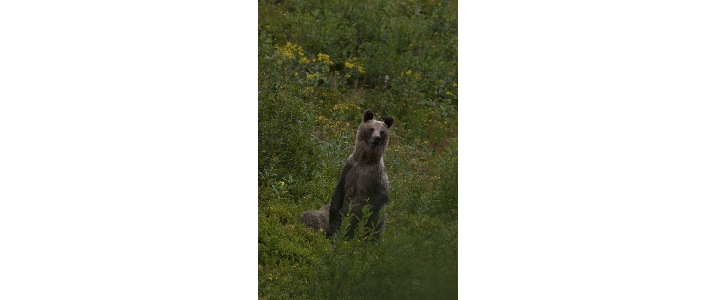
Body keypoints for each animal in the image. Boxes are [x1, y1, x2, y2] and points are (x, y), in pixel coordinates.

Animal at [300, 109, 396, 240]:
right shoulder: (349, 168)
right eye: (371, 128)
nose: (377, 138)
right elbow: (339, 189)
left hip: (378, 221)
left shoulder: (376, 175)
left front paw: (359, 217)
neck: (365, 160)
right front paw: (334, 221)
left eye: (382, 131)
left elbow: (381, 195)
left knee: (375, 229)